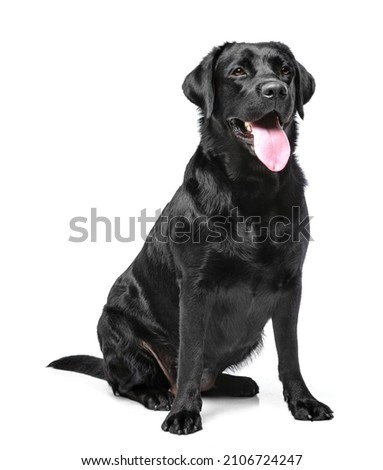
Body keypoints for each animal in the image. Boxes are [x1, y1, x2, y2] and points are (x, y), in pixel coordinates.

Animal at [50, 42, 332, 436]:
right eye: (238, 71)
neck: (253, 188)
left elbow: (290, 352)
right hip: (113, 324)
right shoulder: (196, 287)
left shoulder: (291, 284)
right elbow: (191, 354)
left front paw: (303, 402)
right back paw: (156, 394)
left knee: (207, 378)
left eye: (286, 70)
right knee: (126, 383)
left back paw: (238, 383)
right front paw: (183, 412)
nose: (276, 90)